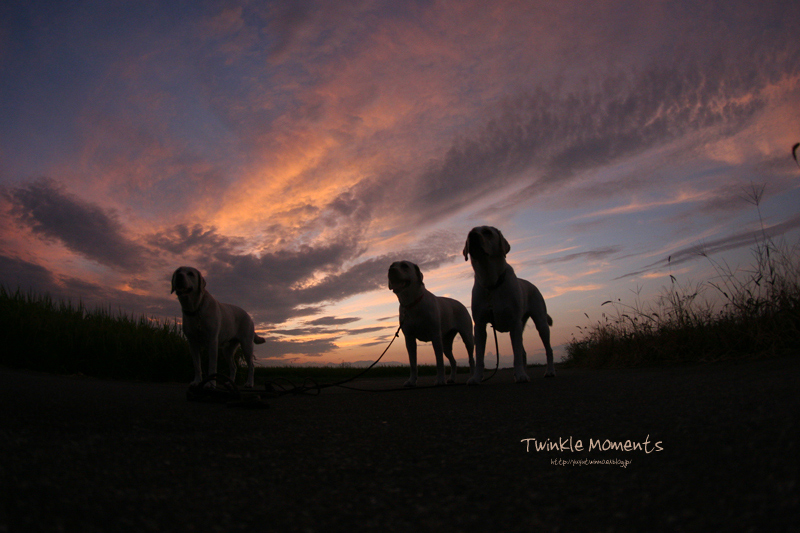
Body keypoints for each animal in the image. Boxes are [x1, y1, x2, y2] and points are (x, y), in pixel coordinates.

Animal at [390, 258, 476, 386]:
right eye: (391, 265)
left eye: (405, 266)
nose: (391, 270)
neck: (412, 303)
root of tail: (460, 304)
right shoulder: (409, 338)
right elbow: (412, 363)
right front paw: (411, 381)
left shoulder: (435, 336)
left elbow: (439, 361)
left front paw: (440, 380)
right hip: (446, 343)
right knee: (453, 361)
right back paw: (452, 378)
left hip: (467, 336)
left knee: (471, 358)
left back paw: (472, 378)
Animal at [462, 225, 556, 382]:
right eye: (469, 233)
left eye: (487, 232)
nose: (473, 236)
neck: (491, 282)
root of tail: (531, 284)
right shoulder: (480, 325)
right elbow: (480, 356)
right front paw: (476, 378)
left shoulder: (514, 322)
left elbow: (516, 354)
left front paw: (521, 375)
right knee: (523, 352)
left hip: (540, 322)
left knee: (548, 349)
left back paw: (548, 371)